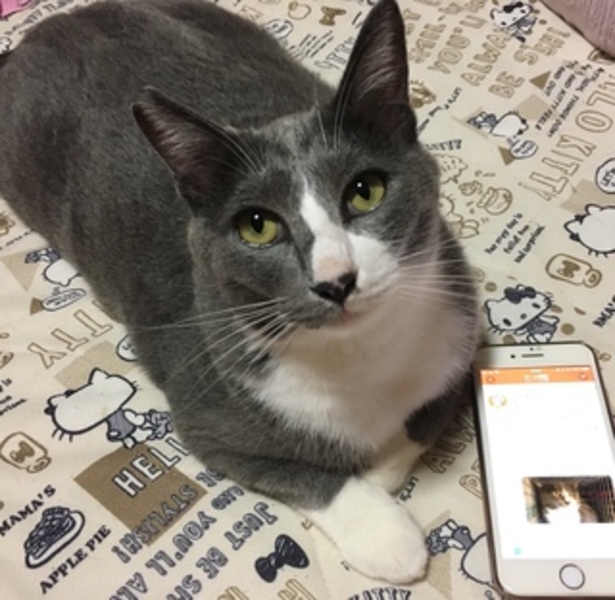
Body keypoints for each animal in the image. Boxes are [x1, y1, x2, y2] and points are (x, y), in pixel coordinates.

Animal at [0, 0, 480, 582]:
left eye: (366, 191)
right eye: (258, 226)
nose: (336, 280)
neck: (359, 354)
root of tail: (41, 32)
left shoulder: (460, 327)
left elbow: (422, 418)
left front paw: (380, 468)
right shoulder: (204, 409)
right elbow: (294, 471)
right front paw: (386, 534)